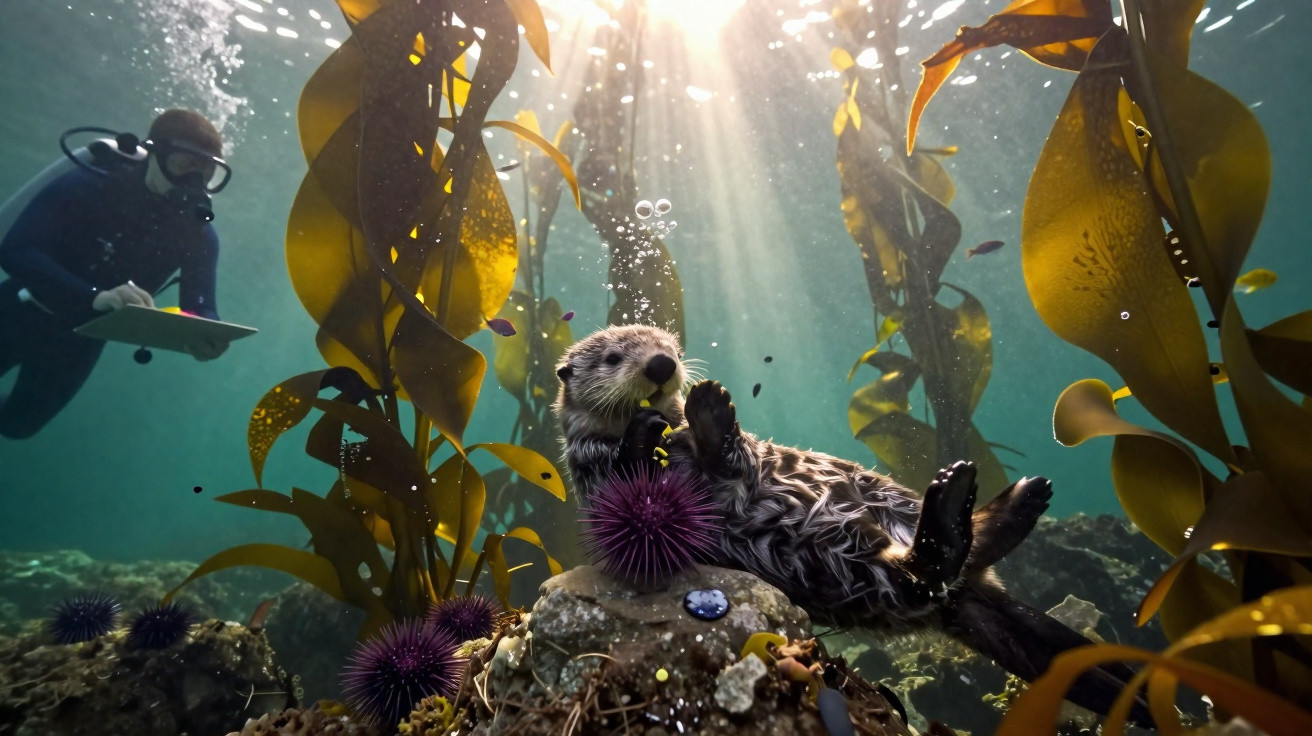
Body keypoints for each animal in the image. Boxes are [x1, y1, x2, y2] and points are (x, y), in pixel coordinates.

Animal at [554, 324, 1150, 724]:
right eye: (612, 357)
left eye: (670, 347)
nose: (661, 365)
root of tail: (968, 596)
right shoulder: (600, 482)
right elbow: (634, 490)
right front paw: (648, 428)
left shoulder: (735, 459)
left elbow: (730, 455)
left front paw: (707, 407)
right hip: (863, 574)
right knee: (928, 567)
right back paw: (964, 507)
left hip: (888, 504)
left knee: (964, 549)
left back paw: (1010, 499)